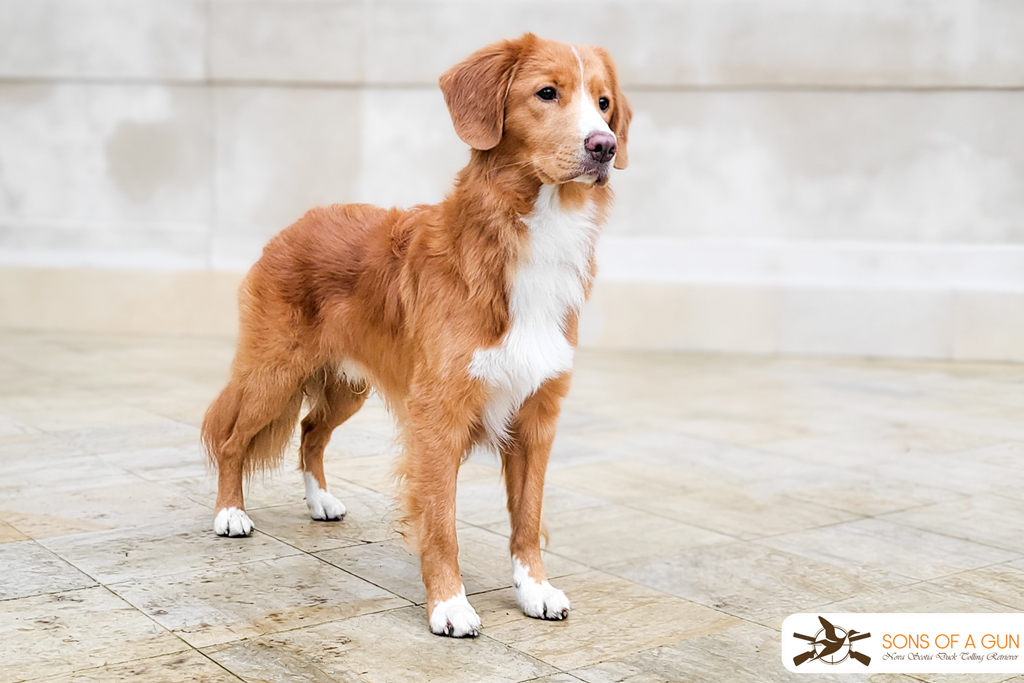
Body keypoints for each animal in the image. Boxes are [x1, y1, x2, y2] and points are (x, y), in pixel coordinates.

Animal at [199, 34, 626, 638]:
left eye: (604, 103)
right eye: (548, 93)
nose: (605, 147)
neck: (527, 235)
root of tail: (295, 225)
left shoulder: (537, 414)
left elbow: (528, 517)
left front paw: (534, 590)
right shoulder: (438, 415)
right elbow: (441, 522)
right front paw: (448, 604)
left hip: (346, 387)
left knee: (309, 432)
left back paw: (321, 502)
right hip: (273, 372)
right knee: (234, 436)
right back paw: (230, 512)